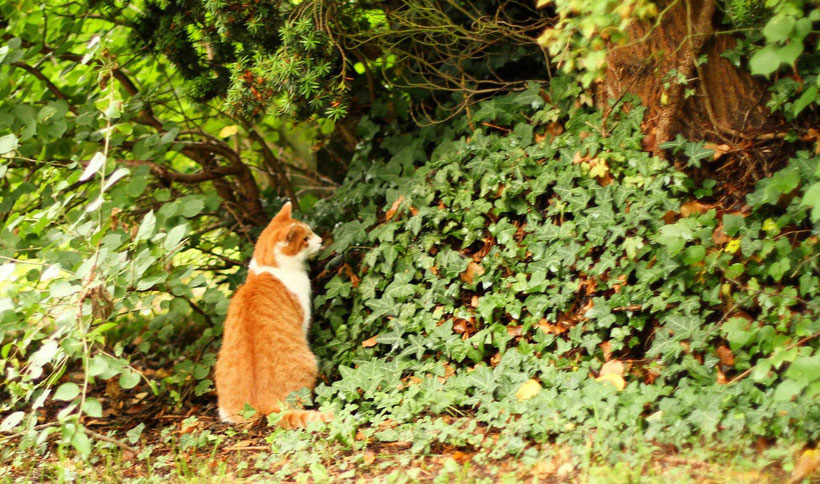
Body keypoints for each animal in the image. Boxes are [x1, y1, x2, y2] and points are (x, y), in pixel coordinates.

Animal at [218, 202, 334, 430]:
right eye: (305, 239)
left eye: (311, 232)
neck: (267, 269)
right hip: (309, 362)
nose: (320, 240)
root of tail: (263, 402)